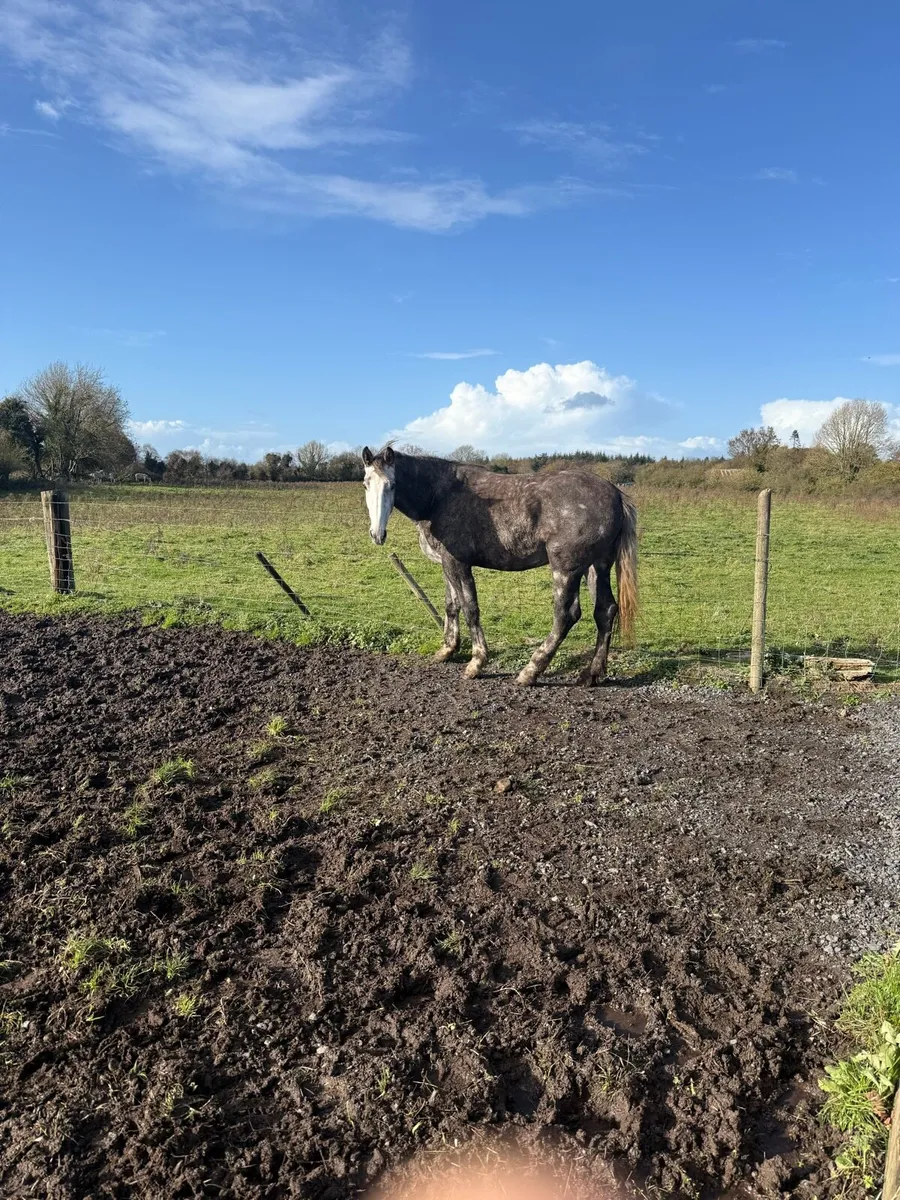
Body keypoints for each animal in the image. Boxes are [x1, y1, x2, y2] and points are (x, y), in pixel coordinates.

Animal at [361, 446, 638, 687]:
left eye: (392, 484)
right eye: (365, 484)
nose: (377, 534)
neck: (439, 497)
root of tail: (615, 494)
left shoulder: (458, 564)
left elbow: (470, 609)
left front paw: (476, 663)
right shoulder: (446, 564)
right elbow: (451, 606)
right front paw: (447, 650)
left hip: (566, 568)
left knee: (566, 615)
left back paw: (530, 671)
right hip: (597, 566)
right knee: (605, 611)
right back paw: (591, 674)